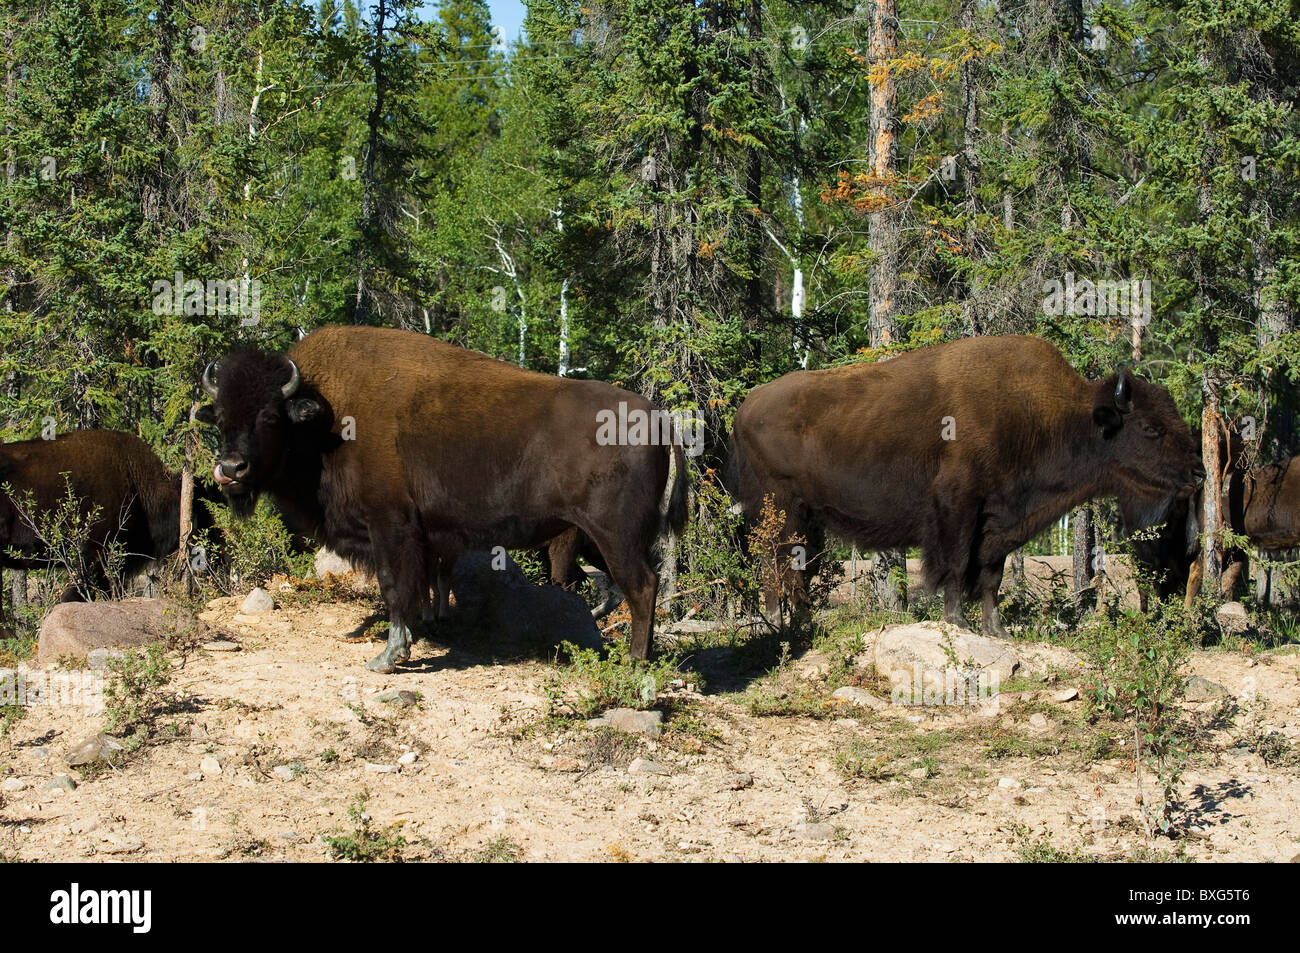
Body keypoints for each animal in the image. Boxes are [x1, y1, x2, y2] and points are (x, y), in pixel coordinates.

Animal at [196, 325, 686, 670]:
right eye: (218, 416)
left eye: (269, 417)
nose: (230, 470)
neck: (326, 420)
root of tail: (659, 418)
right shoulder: (429, 538)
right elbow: (433, 581)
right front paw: (426, 628)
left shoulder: (391, 528)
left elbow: (395, 588)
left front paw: (388, 657)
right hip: (600, 539)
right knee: (629, 586)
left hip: (614, 535)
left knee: (642, 586)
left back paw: (634, 661)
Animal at [728, 335, 1201, 631]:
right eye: (1151, 428)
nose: (1198, 473)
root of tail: (746, 406)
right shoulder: (957, 507)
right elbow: (954, 566)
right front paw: (956, 621)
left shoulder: (1000, 521)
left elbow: (992, 576)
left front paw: (996, 629)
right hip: (776, 507)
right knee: (774, 563)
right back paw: (777, 623)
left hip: (803, 516)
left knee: (794, 566)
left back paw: (801, 622)